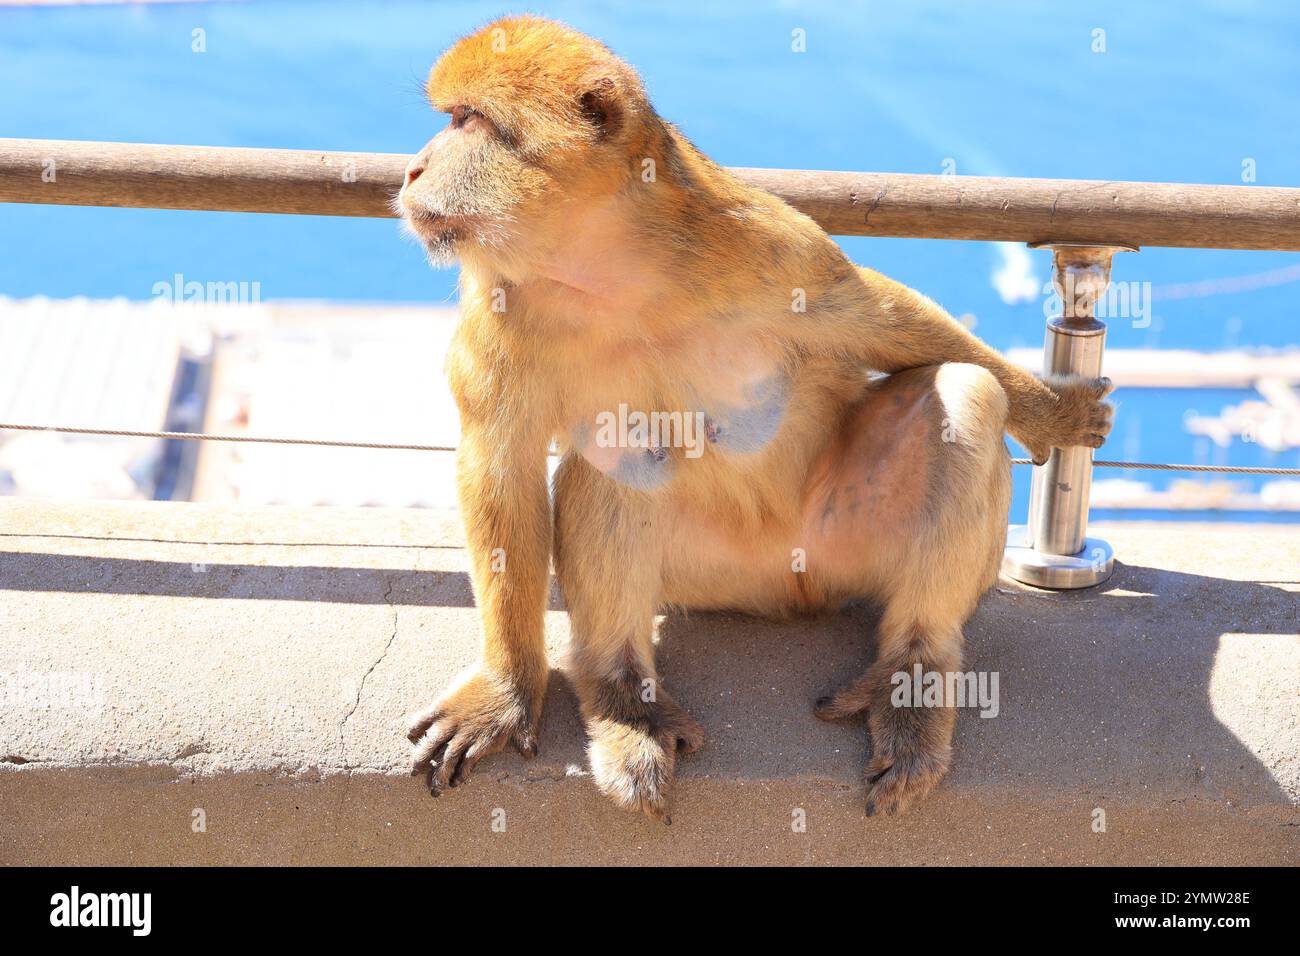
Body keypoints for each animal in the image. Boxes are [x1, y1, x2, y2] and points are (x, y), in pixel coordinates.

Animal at [398, 16, 1113, 820]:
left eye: (467, 122)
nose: (413, 170)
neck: (606, 267)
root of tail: (784, 586)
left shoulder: (764, 241)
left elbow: (884, 317)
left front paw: (1054, 415)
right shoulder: (496, 306)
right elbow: (502, 467)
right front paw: (508, 689)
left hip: (842, 548)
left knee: (965, 393)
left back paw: (913, 681)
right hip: (713, 574)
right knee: (618, 452)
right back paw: (623, 699)